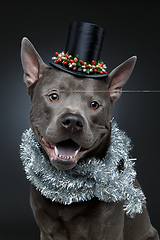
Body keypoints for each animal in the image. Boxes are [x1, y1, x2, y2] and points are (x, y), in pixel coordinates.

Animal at [20, 24, 159, 240]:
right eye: (53, 96)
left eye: (94, 104)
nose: (73, 122)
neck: (66, 185)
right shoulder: (46, 232)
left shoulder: (108, 232)